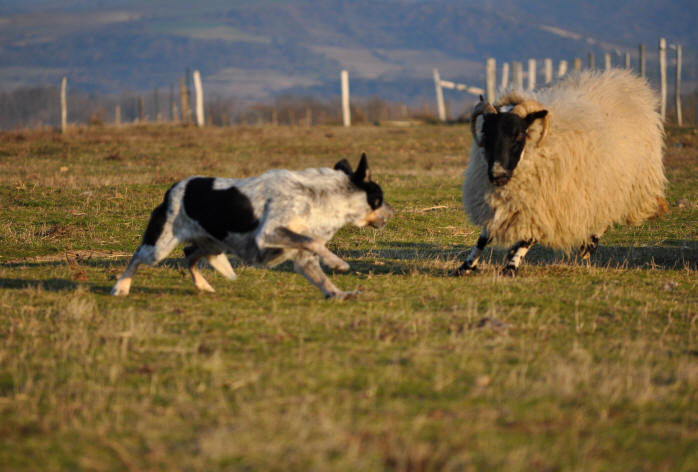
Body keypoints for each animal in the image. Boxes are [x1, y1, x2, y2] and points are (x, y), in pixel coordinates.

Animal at [111, 155, 388, 298]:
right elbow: (314, 242)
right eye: (380, 198)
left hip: (215, 243)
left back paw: (203, 286)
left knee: (189, 254)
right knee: (137, 256)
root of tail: (171, 189)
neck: (320, 196)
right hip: (159, 248)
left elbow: (321, 276)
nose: (392, 211)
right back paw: (121, 287)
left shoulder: (302, 258)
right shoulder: (271, 232)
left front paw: (338, 293)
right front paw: (337, 263)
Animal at [454, 69, 668, 276]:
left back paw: (589, 245)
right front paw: (466, 266)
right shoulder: (503, 203)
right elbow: (484, 237)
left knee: (607, 216)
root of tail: (625, 81)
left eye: (519, 135)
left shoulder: (547, 205)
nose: (497, 175)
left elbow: (529, 237)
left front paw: (511, 267)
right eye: (486, 132)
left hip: (621, 187)